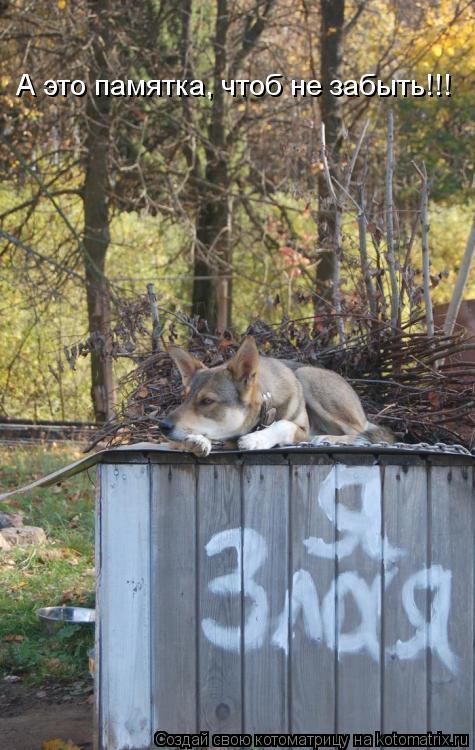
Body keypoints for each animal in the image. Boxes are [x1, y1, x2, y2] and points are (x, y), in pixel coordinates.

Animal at [158, 336, 396, 456]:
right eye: (184, 398)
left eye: (207, 401)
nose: (163, 426)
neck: (267, 402)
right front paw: (197, 439)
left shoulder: (300, 429)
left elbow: (283, 425)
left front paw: (256, 439)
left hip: (307, 376)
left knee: (361, 433)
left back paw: (327, 438)